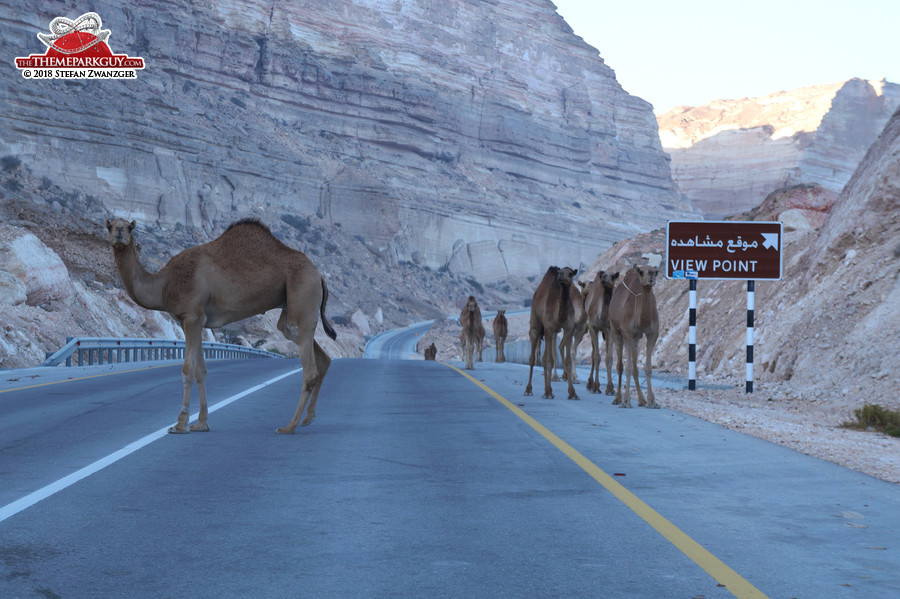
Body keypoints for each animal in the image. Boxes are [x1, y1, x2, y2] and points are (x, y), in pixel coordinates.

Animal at [106, 218, 338, 434]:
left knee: (309, 369)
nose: (119, 232)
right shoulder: (192, 321)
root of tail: (319, 274)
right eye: (110, 225)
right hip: (291, 309)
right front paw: (201, 423)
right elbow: (201, 371)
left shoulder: (192, 316)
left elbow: (188, 370)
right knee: (320, 357)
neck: (164, 284)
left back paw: (289, 426)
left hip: (302, 294)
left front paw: (180, 424)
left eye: (129, 227)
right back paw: (308, 418)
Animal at [524, 266, 580, 398]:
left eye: (570, 273)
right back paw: (529, 389)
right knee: (533, 356)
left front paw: (572, 393)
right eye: (560, 272)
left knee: (544, 358)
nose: (560, 277)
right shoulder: (549, 328)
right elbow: (549, 360)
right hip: (536, 322)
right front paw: (548, 391)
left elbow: (567, 361)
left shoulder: (569, 329)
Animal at [608, 266, 656, 410]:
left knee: (635, 368)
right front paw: (626, 401)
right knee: (620, 366)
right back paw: (617, 398)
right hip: (616, 332)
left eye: (655, 272)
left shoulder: (653, 334)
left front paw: (652, 401)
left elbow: (647, 368)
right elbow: (627, 368)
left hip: (636, 340)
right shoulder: (627, 333)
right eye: (641, 272)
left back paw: (641, 400)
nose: (651, 276)